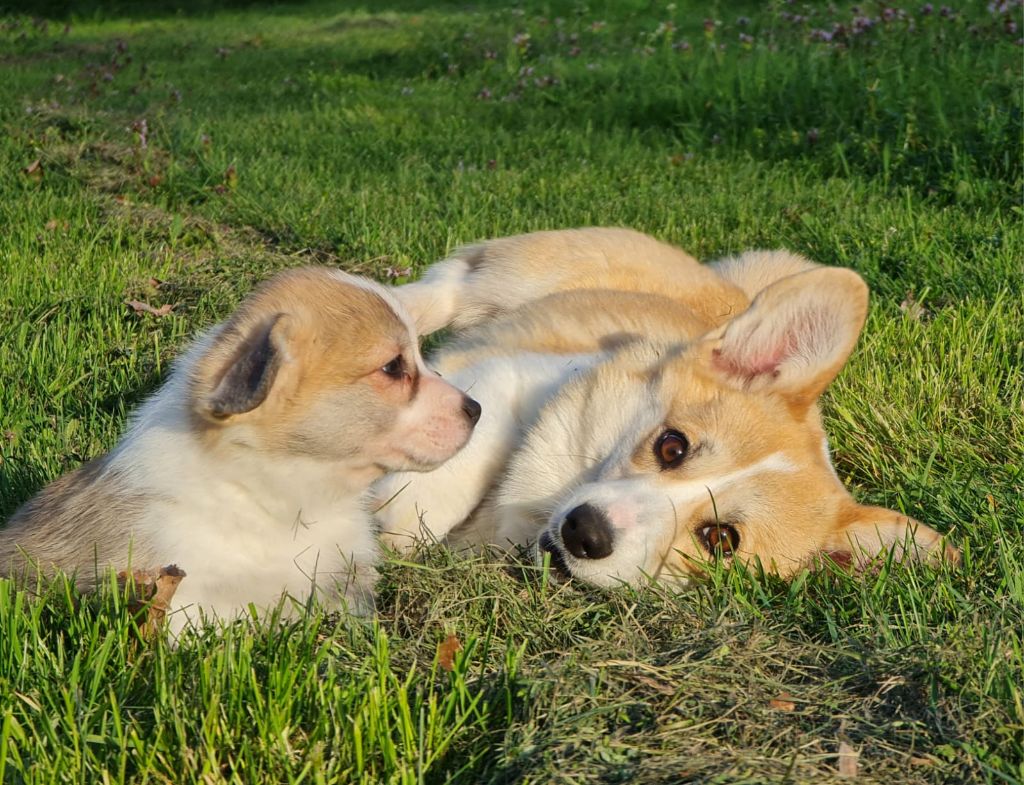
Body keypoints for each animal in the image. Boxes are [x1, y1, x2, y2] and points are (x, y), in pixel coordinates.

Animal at [373, 228, 958, 586]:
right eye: (671, 446)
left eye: (720, 540)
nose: (586, 532)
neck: (551, 496)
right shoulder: (520, 373)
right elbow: (477, 431)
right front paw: (405, 512)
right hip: (522, 277)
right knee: (438, 290)